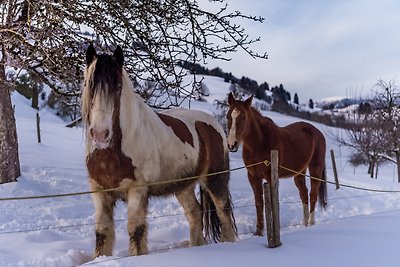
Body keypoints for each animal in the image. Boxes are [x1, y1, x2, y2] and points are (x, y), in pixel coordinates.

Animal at [82, 45, 236, 258]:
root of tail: (215, 125)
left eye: (118, 87)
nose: (100, 134)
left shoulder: (137, 191)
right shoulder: (99, 191)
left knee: (223, 212)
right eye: (89, 84)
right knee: (195, 212)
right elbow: (102, 233)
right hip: (183, 187)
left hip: (215, 180)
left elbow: (136, 230)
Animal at [227, 92, 326, 237]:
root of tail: (317, 132)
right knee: (304, 193)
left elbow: (273, 202)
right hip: (299, 172)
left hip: (315, 169)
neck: (259, 143)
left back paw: (311, 223)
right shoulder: (253, 177)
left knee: (313, 194)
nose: (231, 144)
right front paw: (258, 232)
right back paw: (305, 224)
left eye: (244, 117)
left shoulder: (270, 177)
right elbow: (259, 203)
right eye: (228, 116)